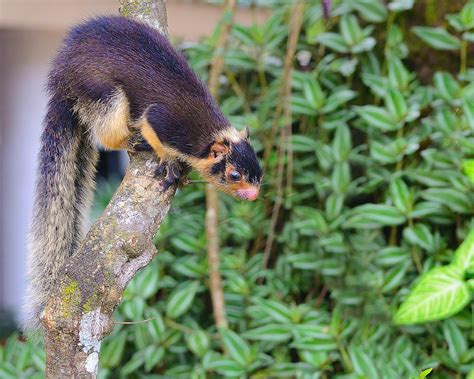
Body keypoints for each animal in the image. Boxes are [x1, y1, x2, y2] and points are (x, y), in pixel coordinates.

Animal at [24, 16, 262, 332]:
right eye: (234, 176)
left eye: (260, 173)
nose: (253, 196)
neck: (206, 135)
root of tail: (61, 80)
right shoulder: (165, 123)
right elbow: (153, 128)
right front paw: (170, 161)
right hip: (103, 94)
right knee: (107, 133)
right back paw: (131, 140)